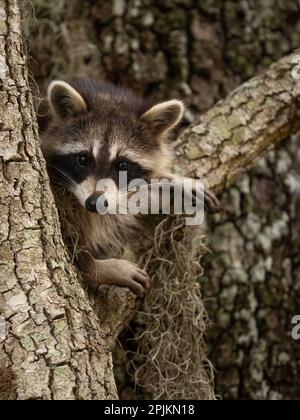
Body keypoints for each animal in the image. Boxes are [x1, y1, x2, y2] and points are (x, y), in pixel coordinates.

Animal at [39, 79, 220, 296]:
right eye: (82, 159)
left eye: (123, 165)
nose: (94, 202)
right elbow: (68, 233)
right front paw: (96, 268)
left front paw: (172, 179)